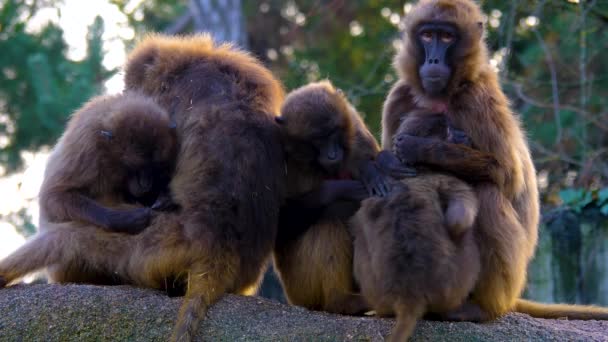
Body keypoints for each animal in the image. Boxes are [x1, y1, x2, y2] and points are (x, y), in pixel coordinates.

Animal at [38, 91, 178, 235]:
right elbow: (53, 197)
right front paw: (120, 220)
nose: (145, 184)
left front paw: (165, 198)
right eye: (135, 167)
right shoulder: (86, 148)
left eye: (153, 167)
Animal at [274, 81, 414, 316]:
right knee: (328, 221)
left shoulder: (354, 126)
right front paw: (343, 189)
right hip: (300, 291)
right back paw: (340, 301)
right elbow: (280, 226)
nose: (332, 154)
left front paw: (369, 169)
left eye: (333, 133)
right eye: (318, 140)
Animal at [384, 0, 608, 320]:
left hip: (508, 280)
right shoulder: (398, 97)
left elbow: (506, 175)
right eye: (427, 35)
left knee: (488, 191)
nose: (434, 59)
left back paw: (477, 308)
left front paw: (420, 148)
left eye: (447, 37)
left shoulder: (476, 99)